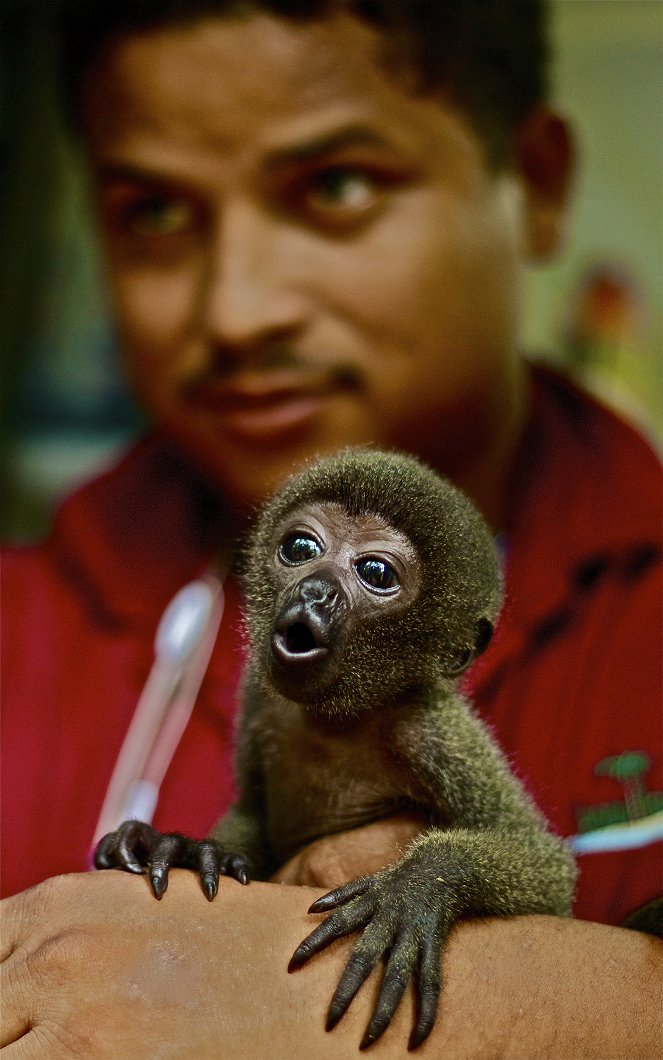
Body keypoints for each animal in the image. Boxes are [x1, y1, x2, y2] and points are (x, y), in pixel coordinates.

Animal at [95, 449, 577, 1051]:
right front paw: (186, 847)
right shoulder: (260, 696)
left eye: (376, 574)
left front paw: (417, 890)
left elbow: (547, 867)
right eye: (301, 549)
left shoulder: (431, 731)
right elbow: (252, 817)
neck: (336, 719)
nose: (313, 591)